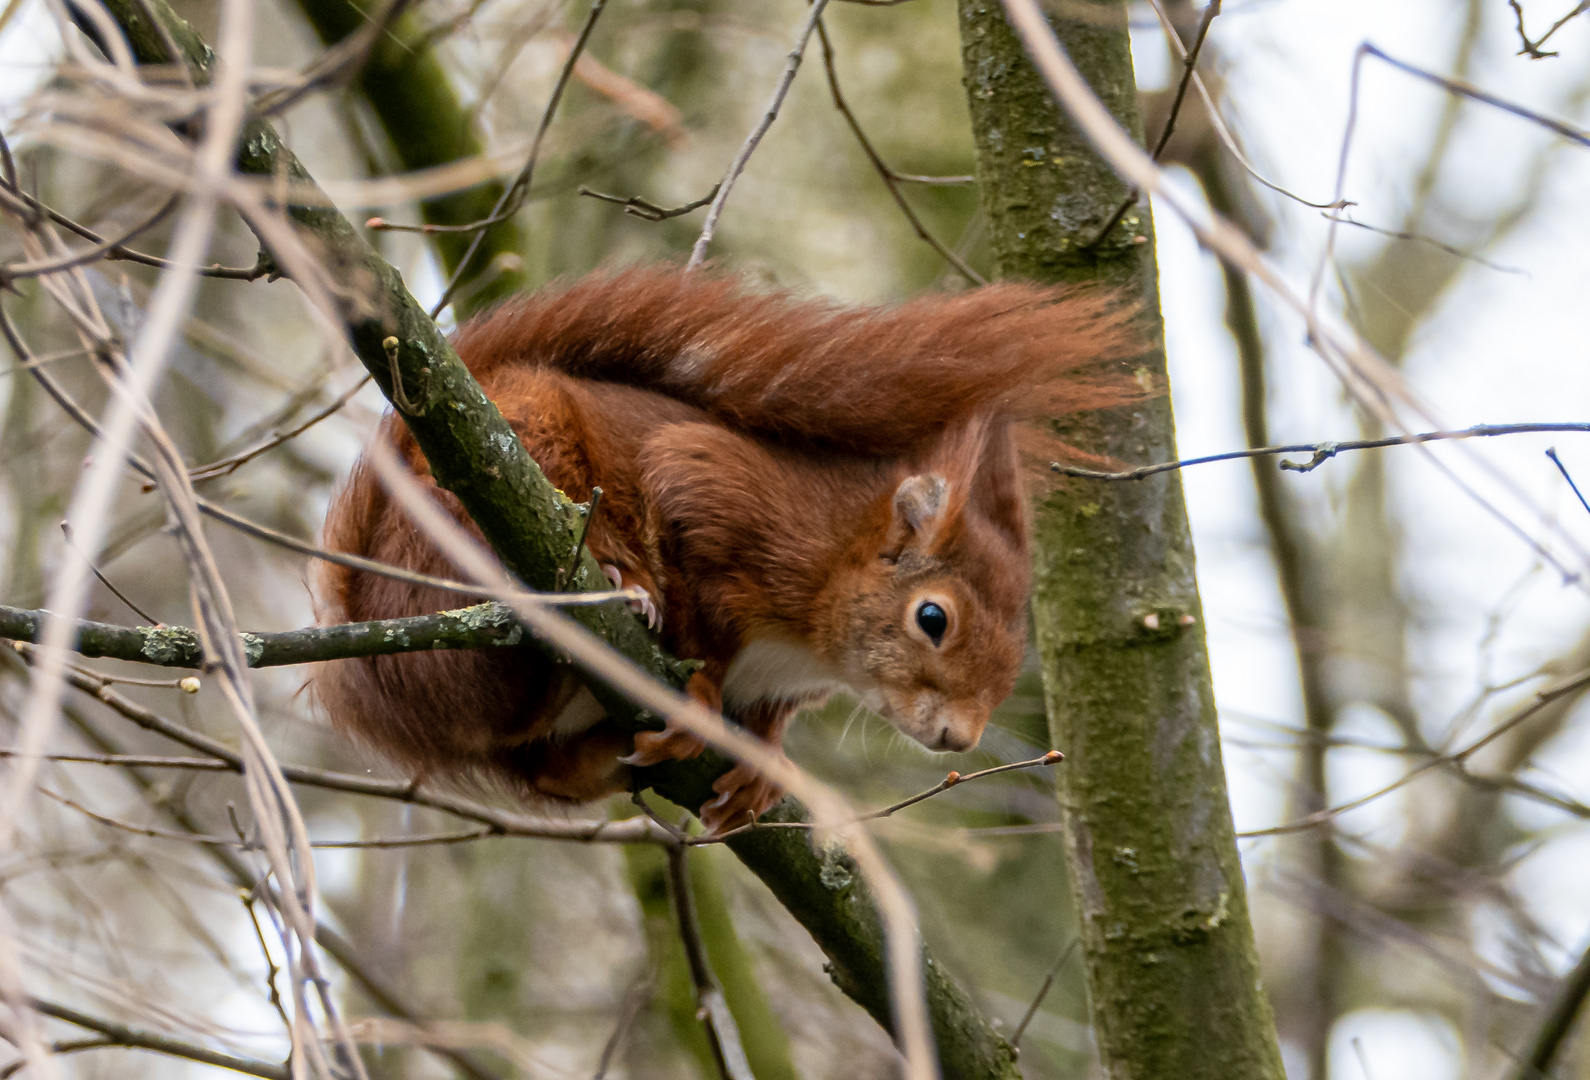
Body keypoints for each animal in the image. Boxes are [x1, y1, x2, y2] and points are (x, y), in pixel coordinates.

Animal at [310, 265, 1138, 833]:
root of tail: (375, 676)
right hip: (498, 487)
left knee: (543, 769)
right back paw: (617, 579)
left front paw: (765, 765)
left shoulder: (788, 683)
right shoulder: (716, 497)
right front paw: (702, 691)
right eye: (932, 619)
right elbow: (699, 603)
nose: (958, 739)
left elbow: (768, 718)